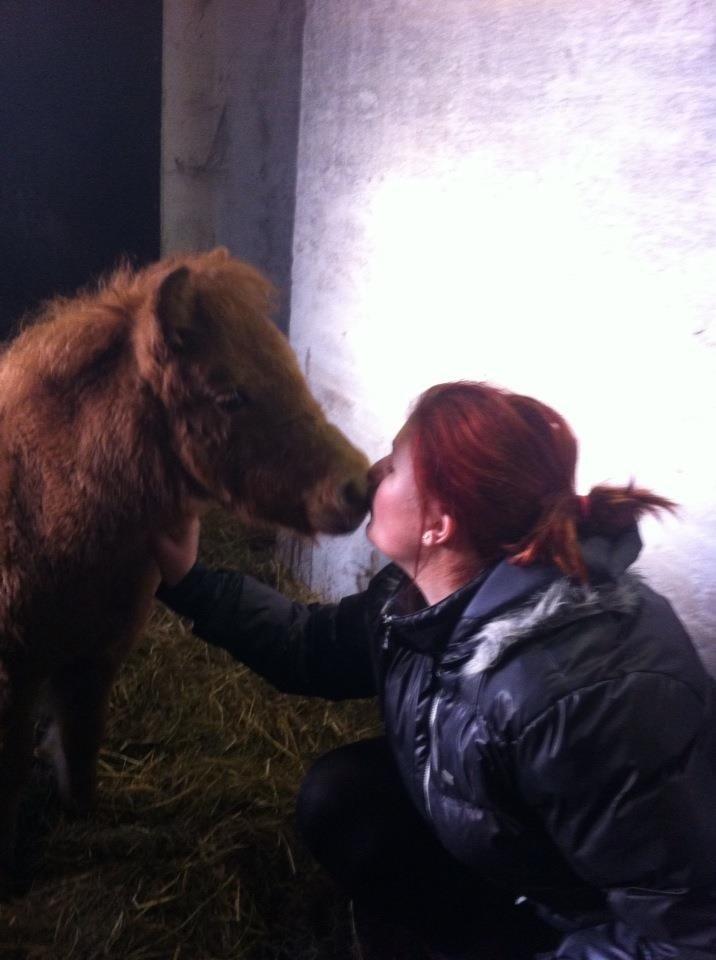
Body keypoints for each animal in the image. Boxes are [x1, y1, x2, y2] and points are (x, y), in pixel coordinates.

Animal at [0, 246, 370, 876]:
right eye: (229, 396)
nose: (358, 487)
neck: (36, 506)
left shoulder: (92, 661)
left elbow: (80, 755)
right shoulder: (15, 678)